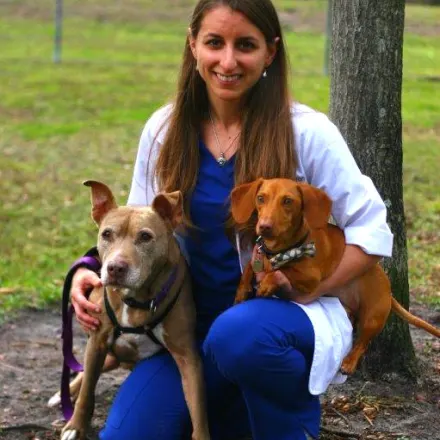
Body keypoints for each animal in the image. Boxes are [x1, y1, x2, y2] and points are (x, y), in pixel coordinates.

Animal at [58, 180, 210, 440]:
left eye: (145, 237)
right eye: (107, 234)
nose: (115, 268)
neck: (136, 298)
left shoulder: (188, 357)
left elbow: (199, 411)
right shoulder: (97, 342)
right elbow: (87, 391)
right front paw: (75, 426)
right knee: (85, 374)